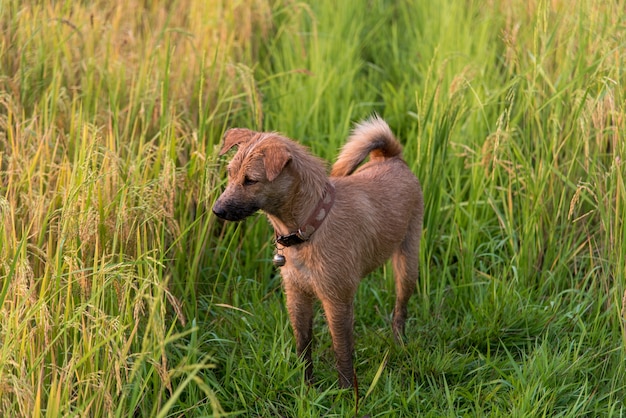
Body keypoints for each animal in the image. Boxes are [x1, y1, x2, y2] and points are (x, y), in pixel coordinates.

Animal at [212, 115, 422, 388]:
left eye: (251, 180)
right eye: (230, 174)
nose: (217, 210)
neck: (309, 226)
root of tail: (392, 158)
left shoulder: (336, 301)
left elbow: (342, 352)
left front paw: (346, 392)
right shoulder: (297, 297)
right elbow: (304, 347)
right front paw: (307, 387)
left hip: (407, 266)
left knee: (400, 310)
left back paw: (399, 344)